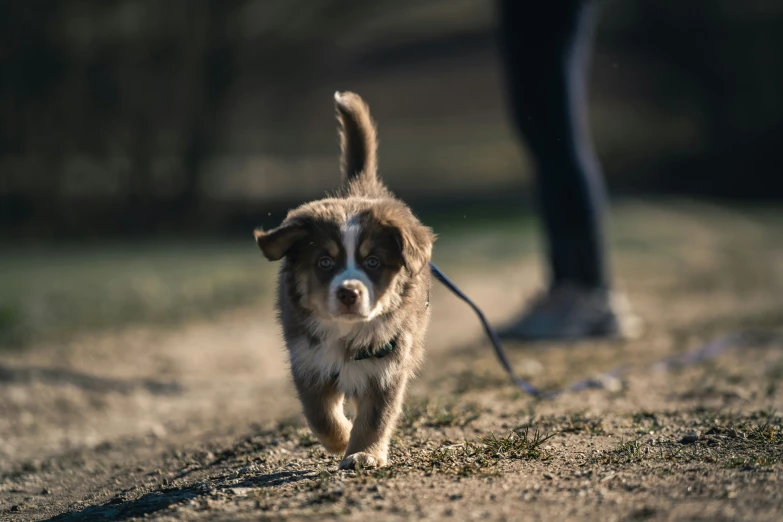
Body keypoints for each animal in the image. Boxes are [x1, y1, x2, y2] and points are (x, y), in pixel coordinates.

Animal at [254, 89, 434, 468]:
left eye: (372, 261)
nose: (349, 292)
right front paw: (340, 440)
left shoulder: (388, 365)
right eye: (324, 262)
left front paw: (364, 453)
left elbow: (376, 417)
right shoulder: (307, 360)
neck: (345, 334)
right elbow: (320, 415)